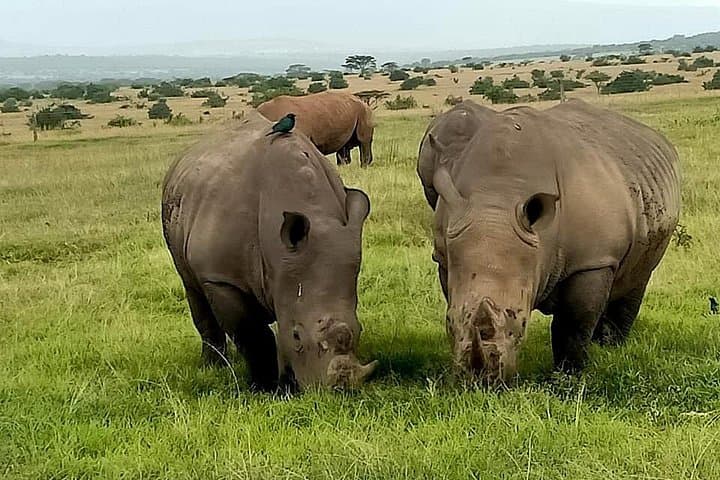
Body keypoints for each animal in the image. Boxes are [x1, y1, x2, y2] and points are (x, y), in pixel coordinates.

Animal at [161, 113, 377, 390]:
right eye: (297, 336)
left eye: (360, 329)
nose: (341, 389)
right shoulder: (221, 278)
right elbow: (253, 335)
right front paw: (265, 387)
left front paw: (286, 382)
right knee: (192, 288)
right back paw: (214, 366)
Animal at [419, 99, 680, 383]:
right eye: (448, 323)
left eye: (521, 325)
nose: (482, 379)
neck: (497, 198)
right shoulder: (445, 256)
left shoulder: (592, 260)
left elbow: (573, 324)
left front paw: (568, 377)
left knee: (637, 277)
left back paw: (610, 347)